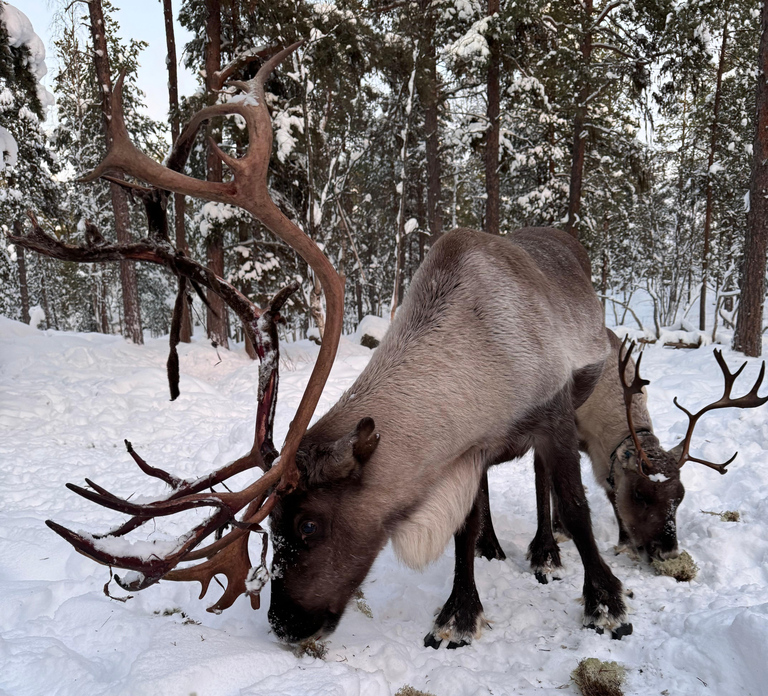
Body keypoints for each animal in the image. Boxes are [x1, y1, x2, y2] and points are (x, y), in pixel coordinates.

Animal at [19, 43, 630, 650]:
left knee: (544, 481)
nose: (284, 624)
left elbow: (576, 505)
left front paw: (605, 603)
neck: (479, 364)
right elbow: (464, 526)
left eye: (309, 524)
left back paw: (546, 552)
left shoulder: (550, 411)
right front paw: (459, 611)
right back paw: (498, 547)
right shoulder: (466, 451)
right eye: (271, 525)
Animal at [475, 329, 768, 584]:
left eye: (681, 496)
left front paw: (622, 541)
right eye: (640, 494)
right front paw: (549, 550)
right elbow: (546, 482)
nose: (667, 553)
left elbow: (603, 490)